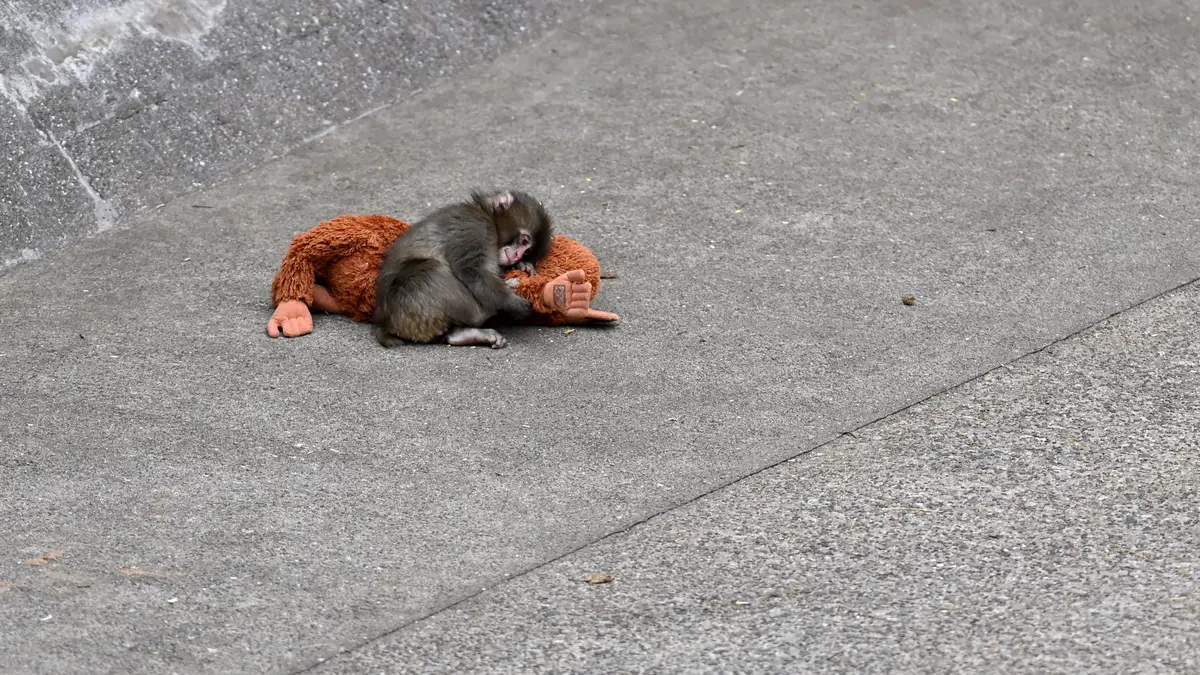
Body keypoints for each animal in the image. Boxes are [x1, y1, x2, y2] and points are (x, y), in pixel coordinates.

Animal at [373, 189, 553, 349]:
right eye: (524, 241)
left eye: (527, 251)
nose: (517, 256)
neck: (486, 215)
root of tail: (386, 323)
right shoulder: (475, 227)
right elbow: (471, 270)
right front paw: (511, 301)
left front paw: (523, 266)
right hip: (409, 306)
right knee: (431, 270)